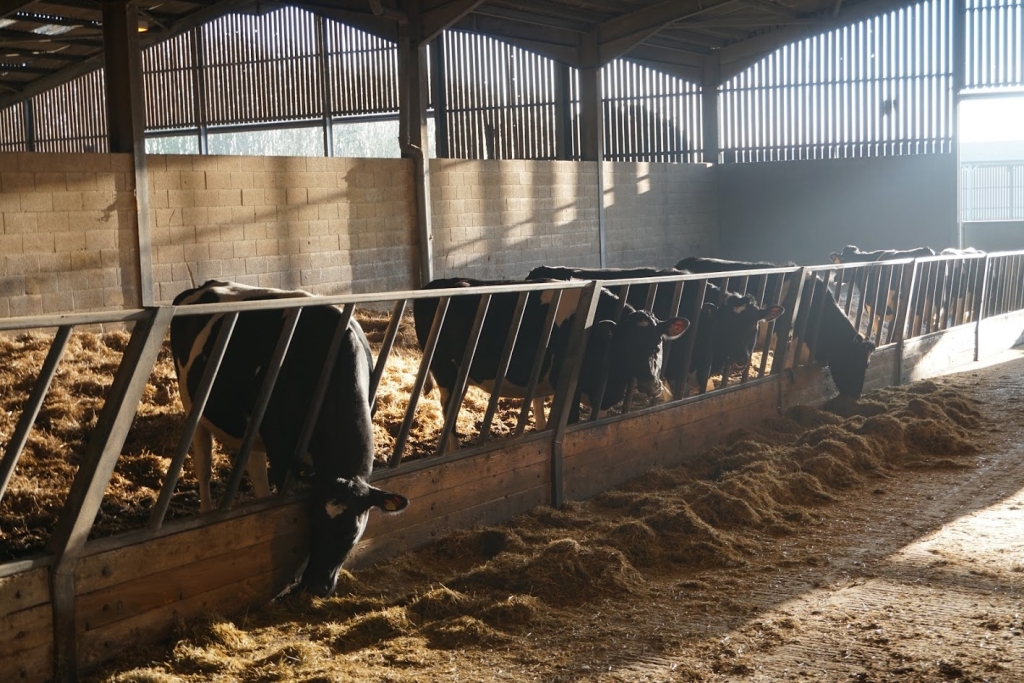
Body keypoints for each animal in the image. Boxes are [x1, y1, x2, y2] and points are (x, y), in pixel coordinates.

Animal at [172, 280, 407, 593]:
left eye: (353, 533)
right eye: (312, 522)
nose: (317, 586)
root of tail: (204, 285)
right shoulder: (282, 447)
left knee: (255, 470)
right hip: (193, 410)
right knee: (204, 465)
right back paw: (207, 511)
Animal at [409, 276, 688, 432]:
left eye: (658, 342)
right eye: (626, 345)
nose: (652, 384)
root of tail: (432, 286)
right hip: (444, 369)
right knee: (448, 412)